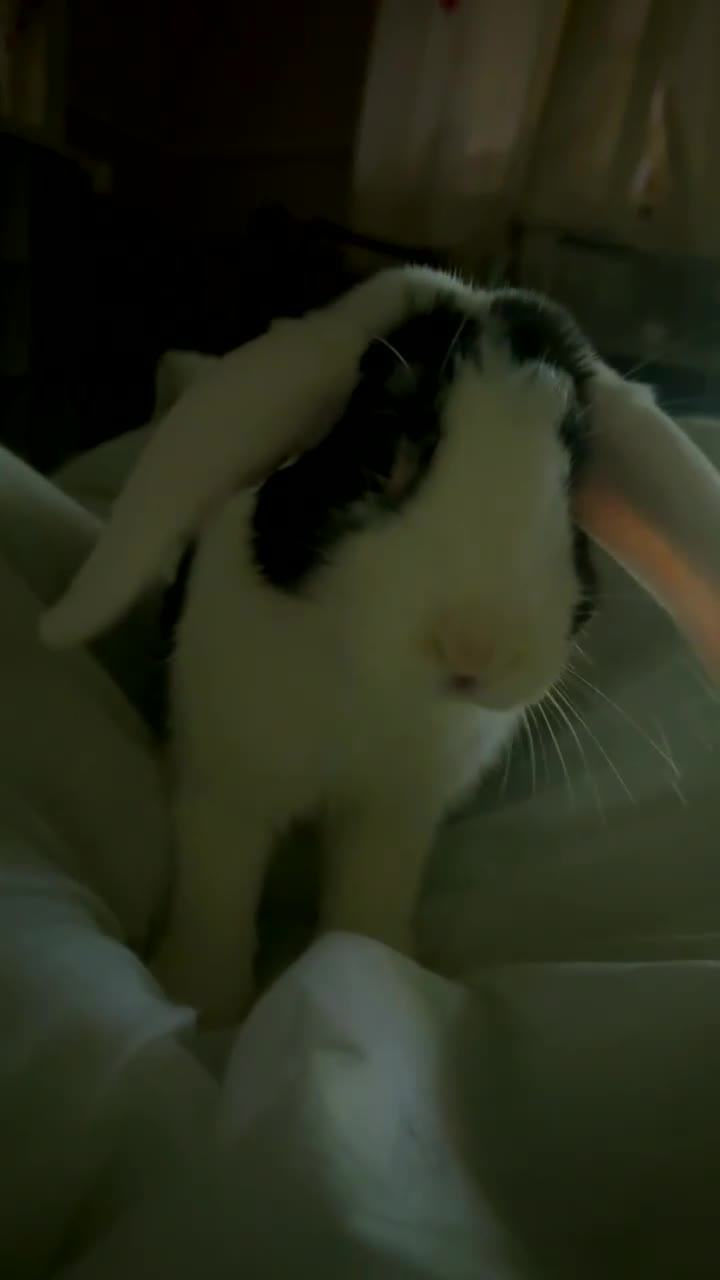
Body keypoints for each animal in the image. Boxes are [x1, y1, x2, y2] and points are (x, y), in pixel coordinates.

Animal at [41, 266, 720, 1026]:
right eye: (379, 455)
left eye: (573, 485)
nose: (473, 650)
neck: (369, 680)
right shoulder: (226, 785)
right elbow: (217, 892)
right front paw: (203, 1002)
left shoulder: (395, 816)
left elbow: (367, 902)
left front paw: (374, 961)